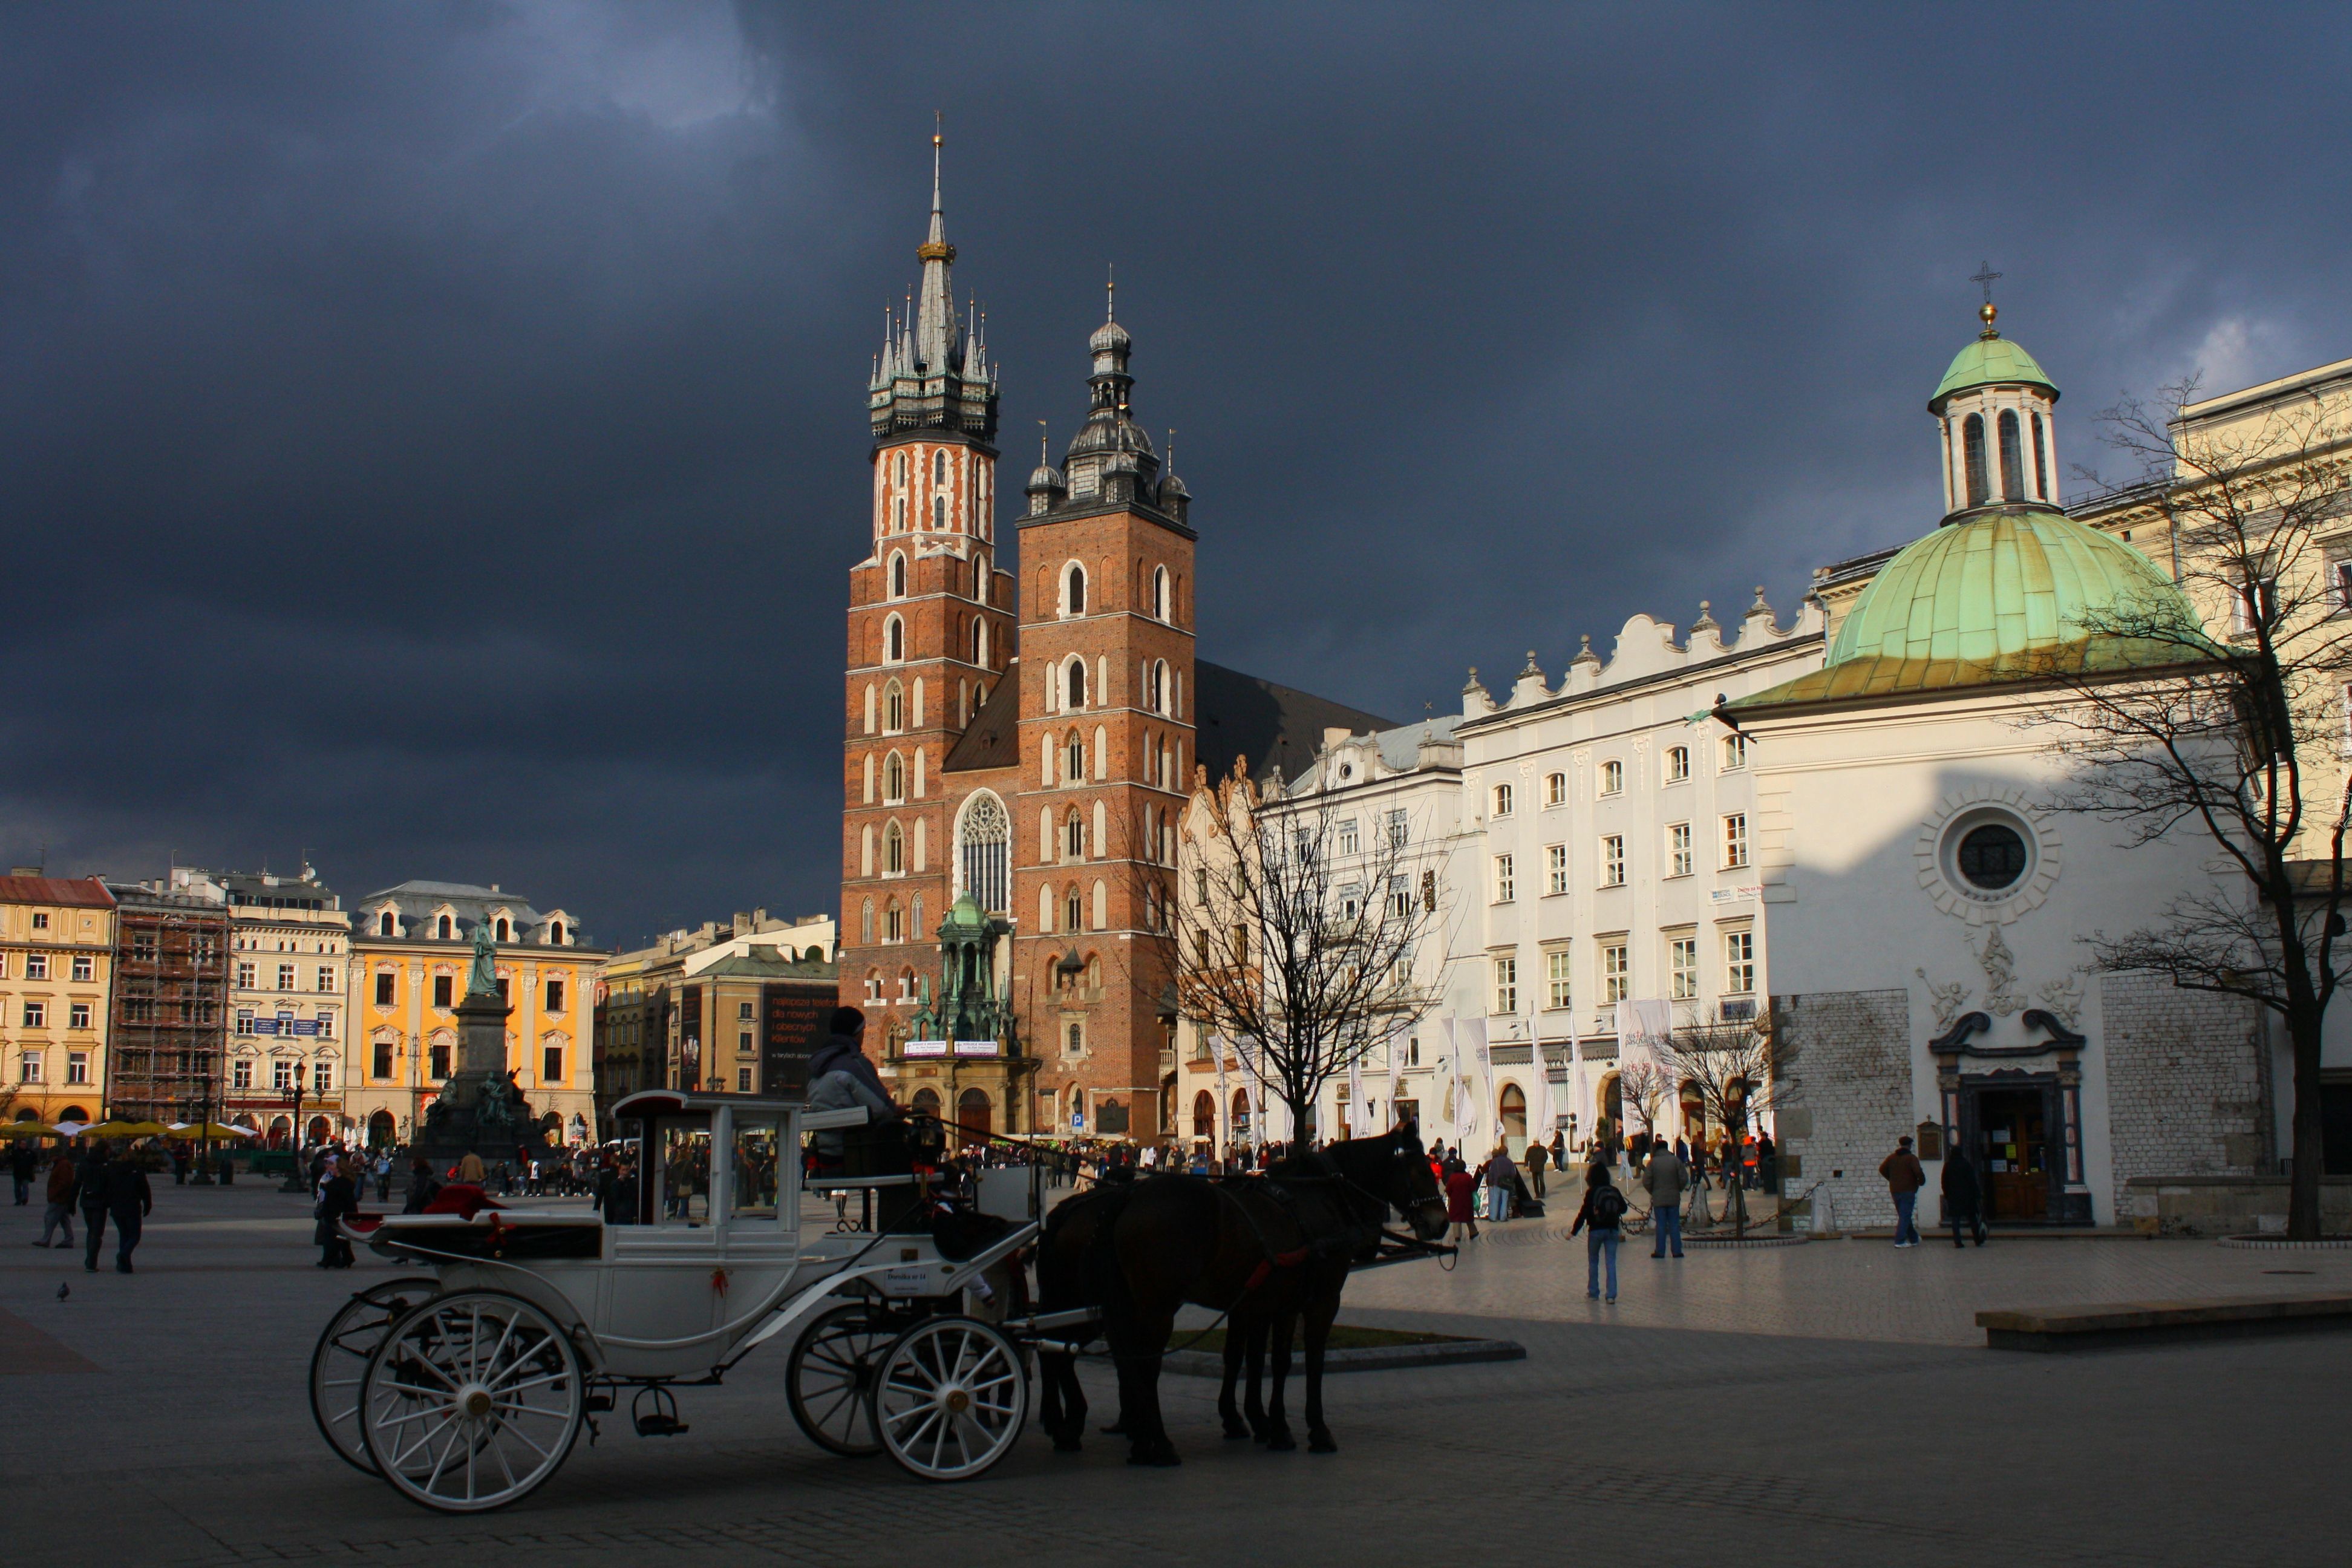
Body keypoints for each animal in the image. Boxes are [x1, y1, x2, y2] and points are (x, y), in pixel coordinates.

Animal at [1034, 1123, 1439, 1466]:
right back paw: (1154, 1442)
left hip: (1118, 1302)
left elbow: (1262, 1360)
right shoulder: (1320, 1300)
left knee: (1091, 1352)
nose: (1440, 1222)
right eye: (1423, 1170)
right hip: (1152, 1305)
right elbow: (1309, 1360)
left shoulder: (1268, 1303)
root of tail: (1125, 1199)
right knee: (1133, 1360)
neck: (1319, 1199)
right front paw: (1314, 1430)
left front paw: (1266, 1425)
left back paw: (1116, 1434)